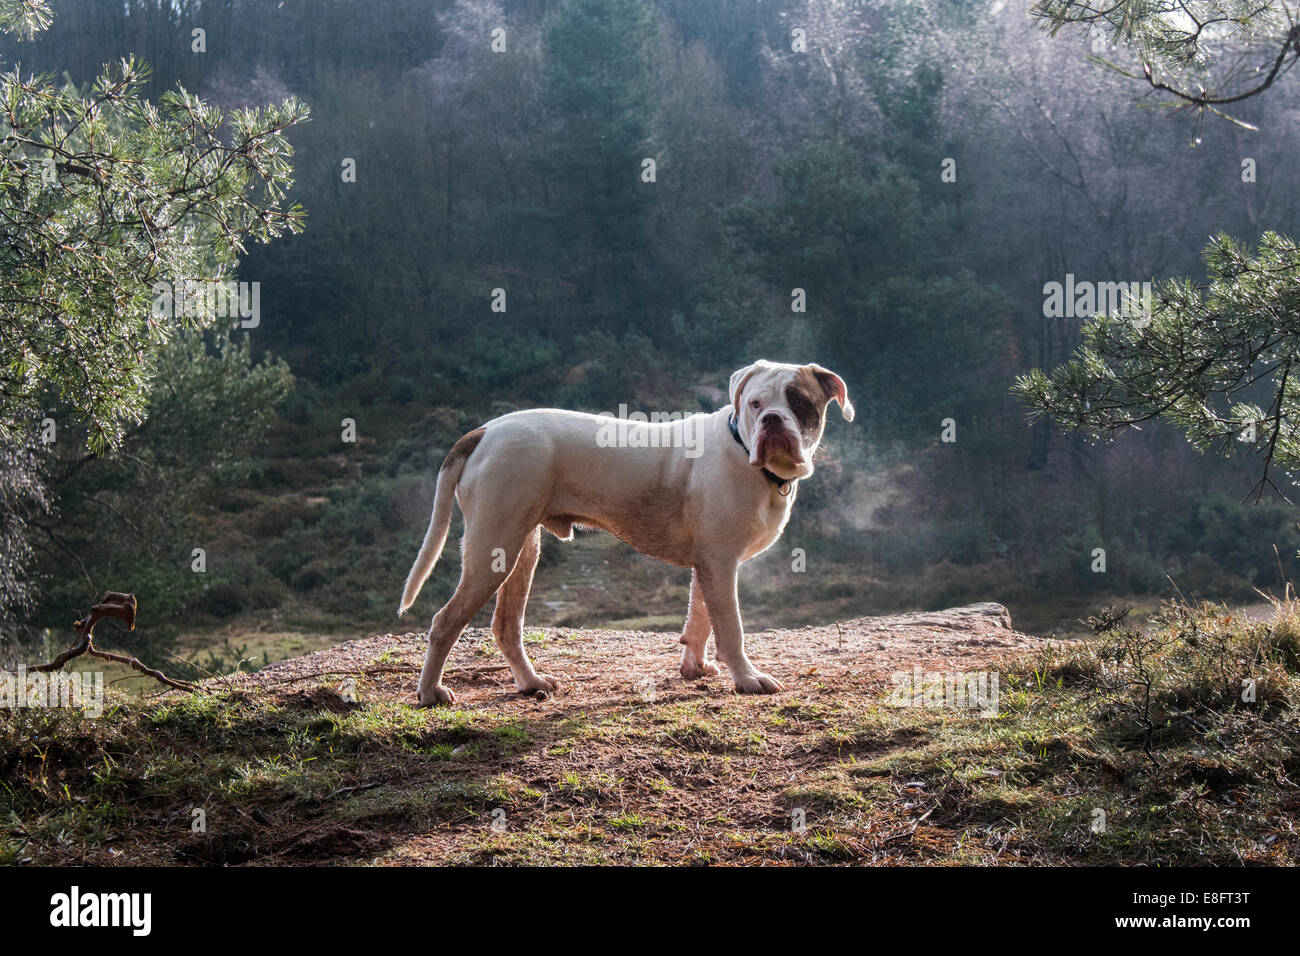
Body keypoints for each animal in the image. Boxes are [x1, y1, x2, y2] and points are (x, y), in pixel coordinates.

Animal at [400, 361, 857, 707]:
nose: (772, 419)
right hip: (494, 547)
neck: (745, 451)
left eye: (799, 401)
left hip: (520, 549)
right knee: (445, 622)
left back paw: (531, 683)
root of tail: (486, 430)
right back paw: (430, 692)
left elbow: (700, 617)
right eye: (755, 404)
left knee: (506, 625)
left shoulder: (709, 563)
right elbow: (730, 626)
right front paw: (745, 678)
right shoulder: (721, 562)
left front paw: (694, 667)